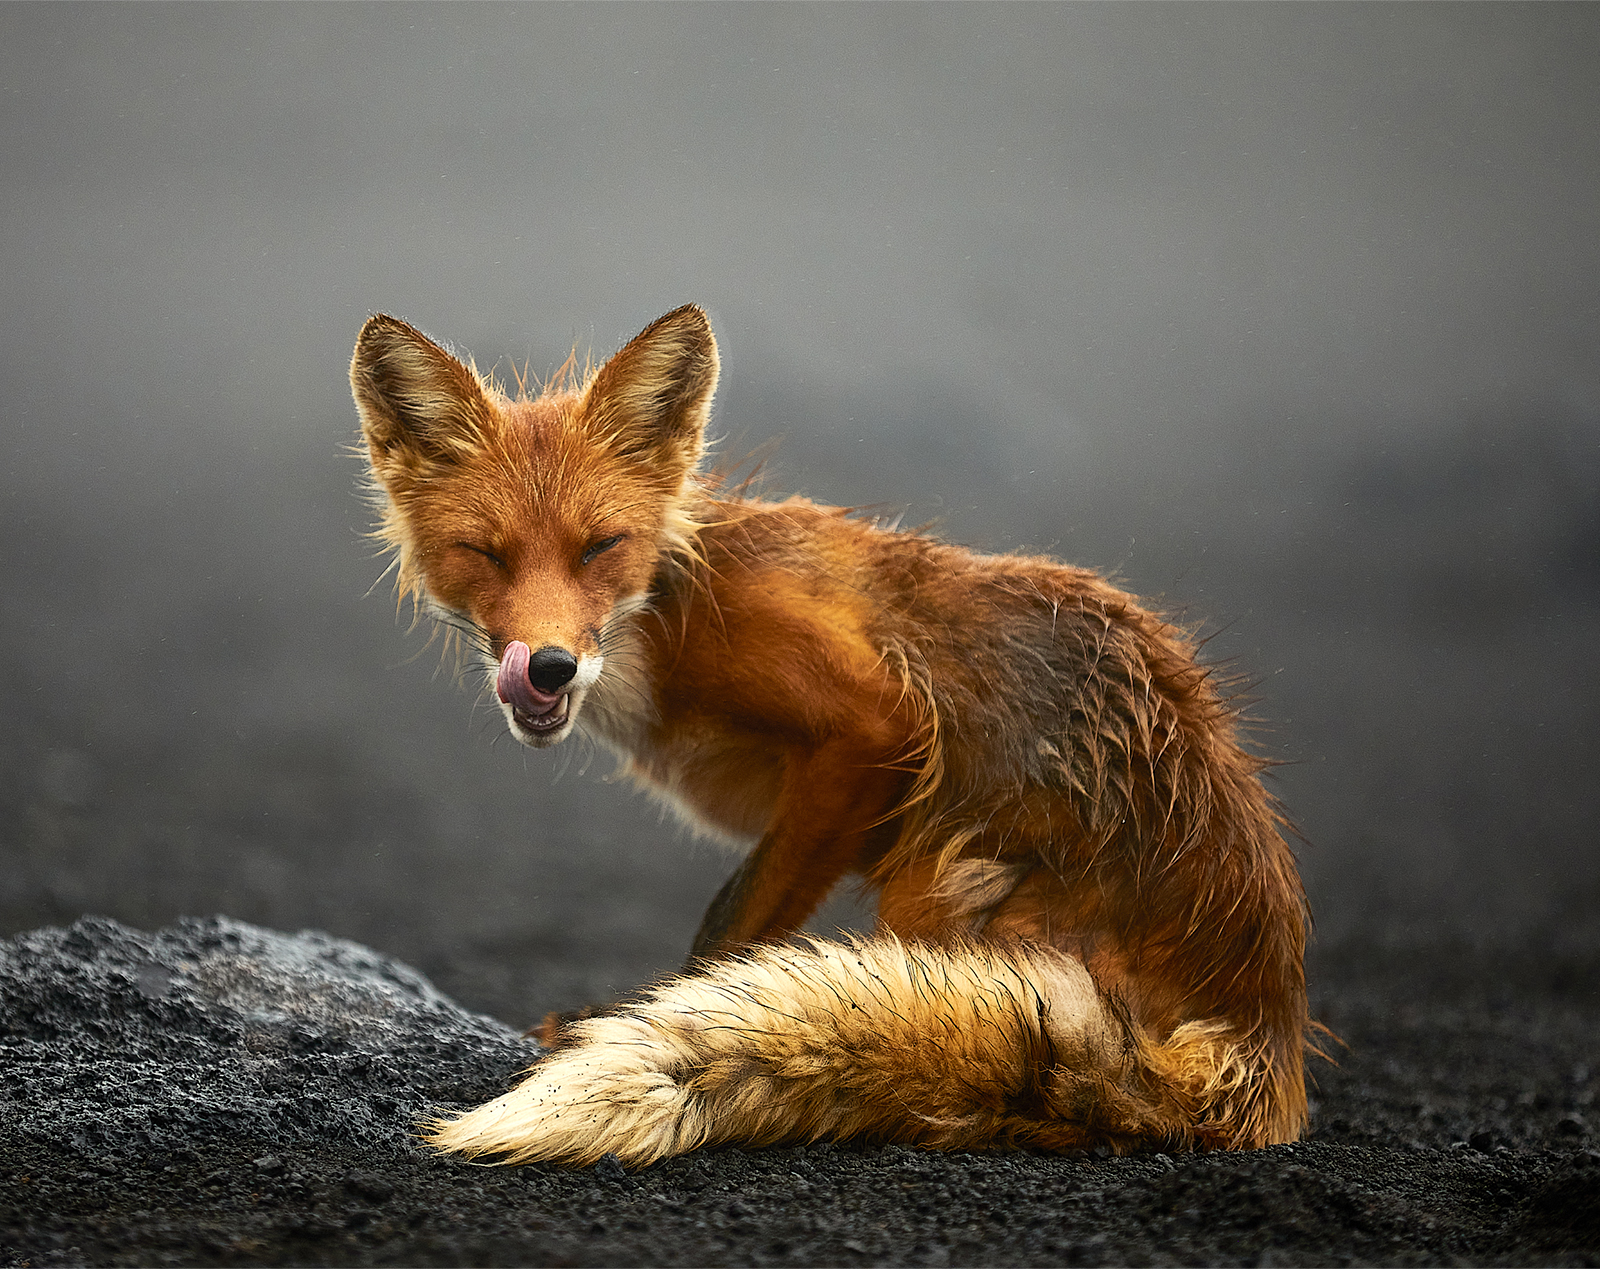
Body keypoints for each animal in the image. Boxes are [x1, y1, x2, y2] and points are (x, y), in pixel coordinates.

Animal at [353, 302, 1312, 1164]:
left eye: (600, 547)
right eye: (486, 553)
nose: (549, 667)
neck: (672, 613)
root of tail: (1264, 1017)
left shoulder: (871, 724)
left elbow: (732, 928)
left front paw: (640, 1016)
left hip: (940, 881)